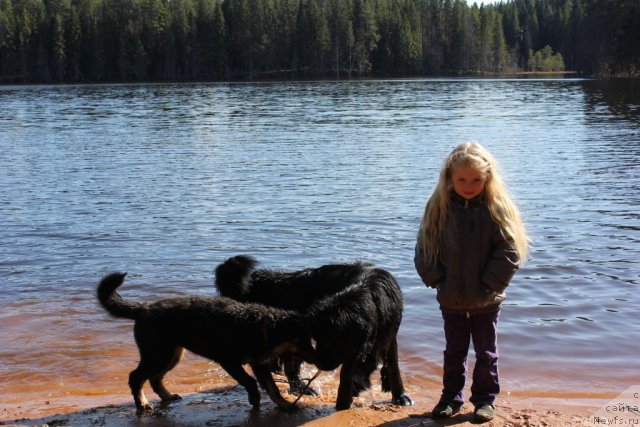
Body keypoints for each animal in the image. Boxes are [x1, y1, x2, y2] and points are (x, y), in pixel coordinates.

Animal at [97, 272, 316, 416]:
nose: (317, 358)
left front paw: (284, 405)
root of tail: (143, 308)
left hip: (172, 354)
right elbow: (250, 382)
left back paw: (166, 396)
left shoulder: (259, 364)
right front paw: (254, 399)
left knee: (154, 378)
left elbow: (272, 387)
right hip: (159, 353)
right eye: (301, 341)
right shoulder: (229, 361)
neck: (258, 326)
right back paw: (142, 404)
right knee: (136, 377)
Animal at [215, 258, 416, 412]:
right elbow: (349, 372)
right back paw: (303, 388)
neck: (368, 294)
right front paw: (345, 400)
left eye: (334, 342)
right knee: (290, 367)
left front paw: (401, 397)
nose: (319, 363)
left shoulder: (387, 336)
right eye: (319, 340)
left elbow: (392, 366)